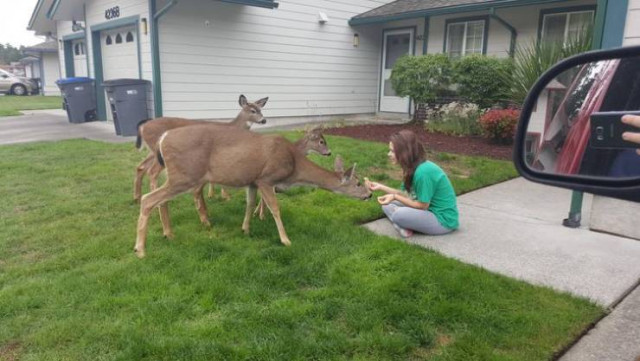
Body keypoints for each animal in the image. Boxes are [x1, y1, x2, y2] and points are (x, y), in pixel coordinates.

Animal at [133, 94, 268, 202]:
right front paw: (225, 196)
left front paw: (212, 194)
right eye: (252, 110)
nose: (264, 120)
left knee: (141, 167)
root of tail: (143, 125)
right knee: (152, 171)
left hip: (152, 151)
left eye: (260, 109)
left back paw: (137, 197)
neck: (233, 126)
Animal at [135, 125, 372, 258]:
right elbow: (275, 208)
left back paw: (168, 233)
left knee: (159, 198)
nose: (369, 195)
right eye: (358, 183)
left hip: (180, 175)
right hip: (185, 174)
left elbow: (249, 204)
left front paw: (246, 229)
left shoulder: (252, 181)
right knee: (148, 199)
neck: (294, 166)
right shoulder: (266, 178)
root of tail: (163, 138)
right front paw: (285, 240)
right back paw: (141, 250)